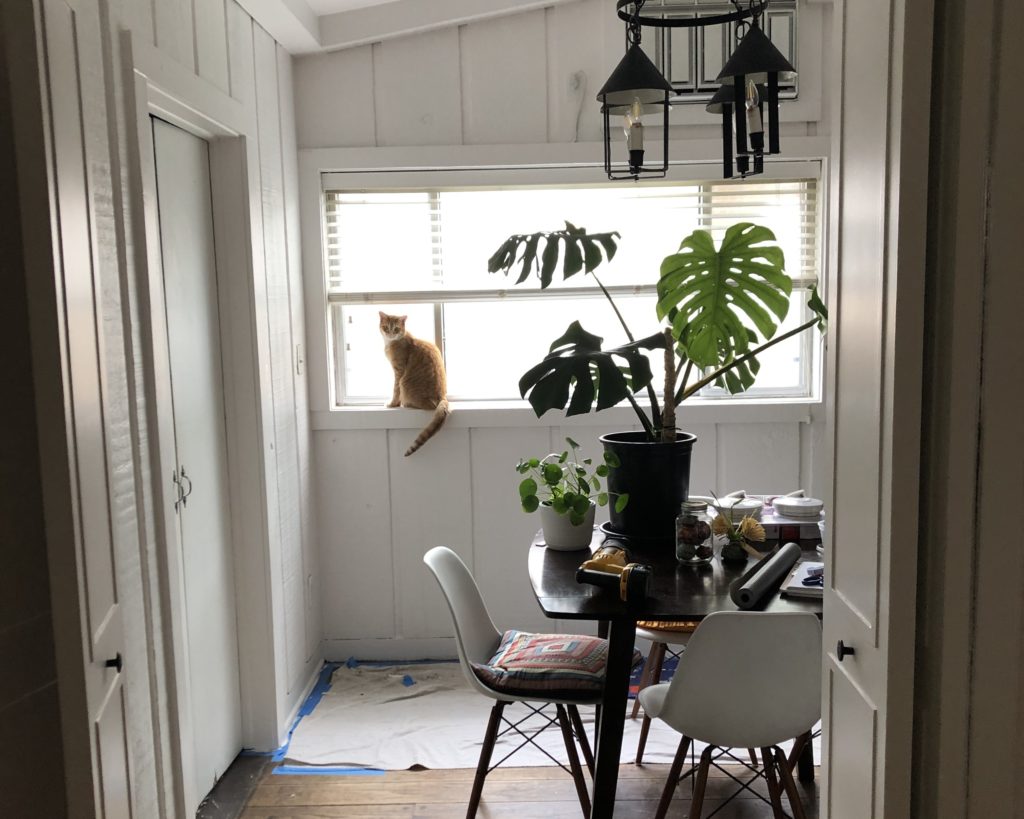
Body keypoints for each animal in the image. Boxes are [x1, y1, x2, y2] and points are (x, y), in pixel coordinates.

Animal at [380, 311, 448, 456]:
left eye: (396, 329)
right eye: (386, 327)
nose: (390, 334)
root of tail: (442, 396)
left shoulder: (398, 371)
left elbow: (395, 390)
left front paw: (393, 404)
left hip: (405, 384)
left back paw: (406, 403)